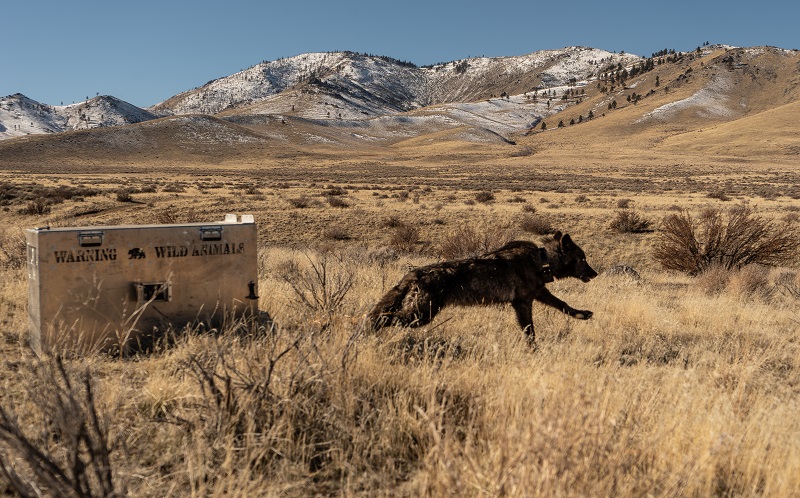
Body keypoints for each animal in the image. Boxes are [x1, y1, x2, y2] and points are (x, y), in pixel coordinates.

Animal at [368, 231, 592, 340]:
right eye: (582, 258)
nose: (595, 273)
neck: (541, 261)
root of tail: (413, 274)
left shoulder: (537, 294)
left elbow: (563, 305)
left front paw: (582, 314)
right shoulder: (523, 303)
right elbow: (530, 330)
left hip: (419, 314)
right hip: (420, 315)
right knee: (382, 318)